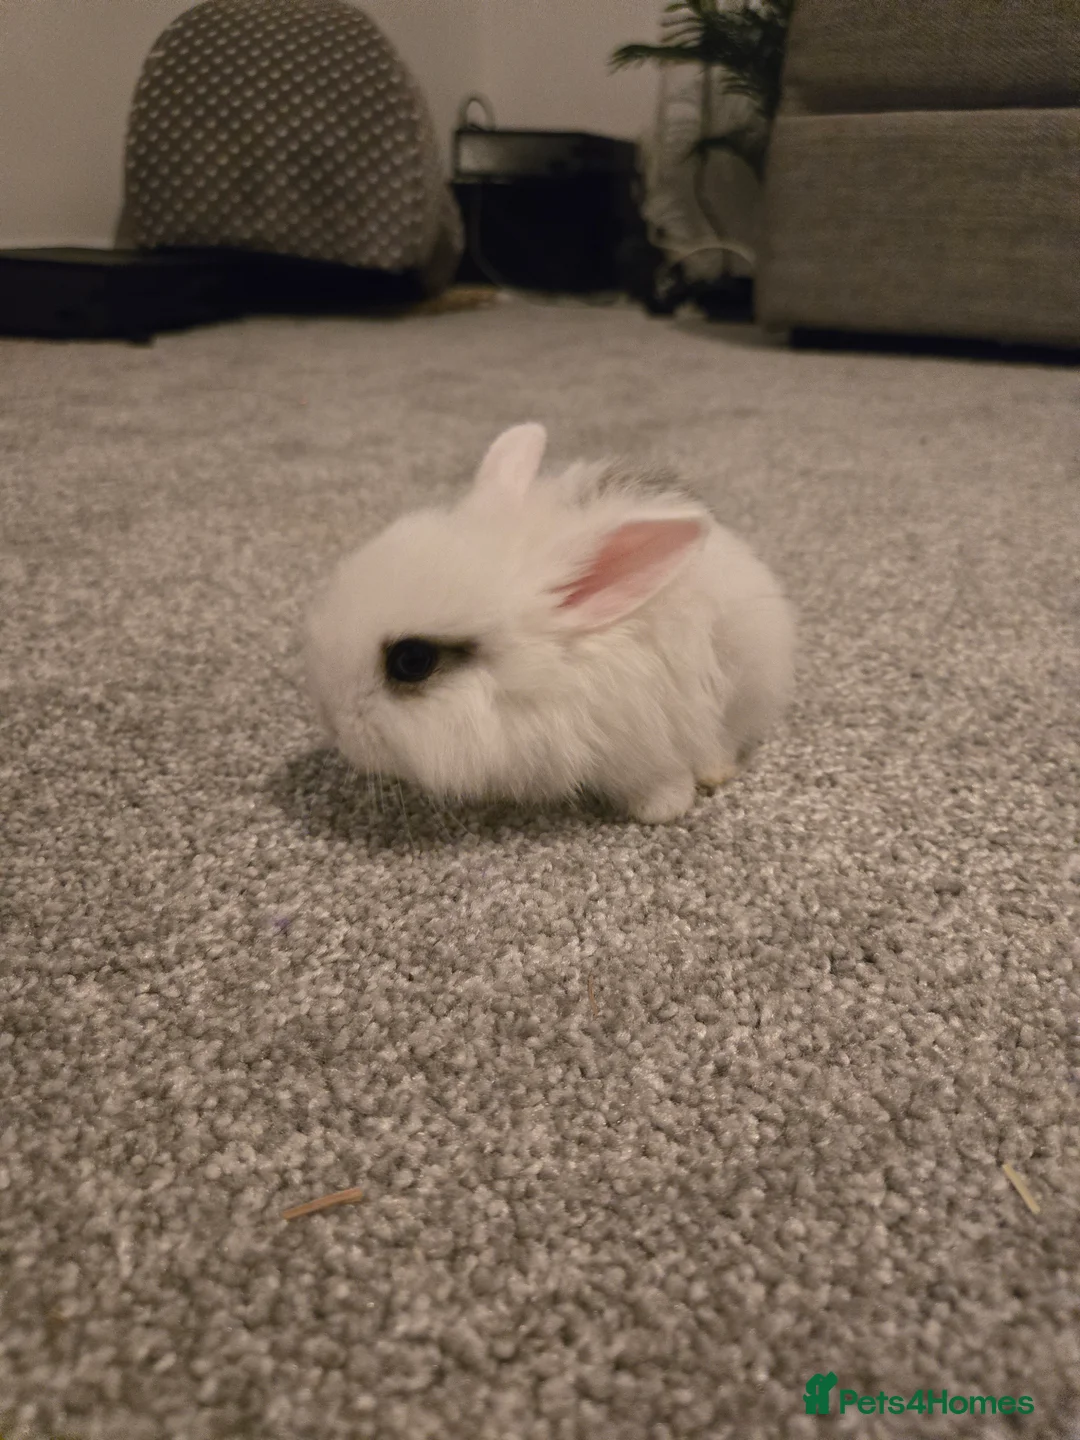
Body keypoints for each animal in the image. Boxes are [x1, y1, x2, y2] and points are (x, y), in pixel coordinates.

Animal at [303, 423, 795, 824]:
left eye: (412, 661)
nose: (331, 721)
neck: (541, 683)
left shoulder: (649, 744)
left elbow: (663, 783)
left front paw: (660, 811)